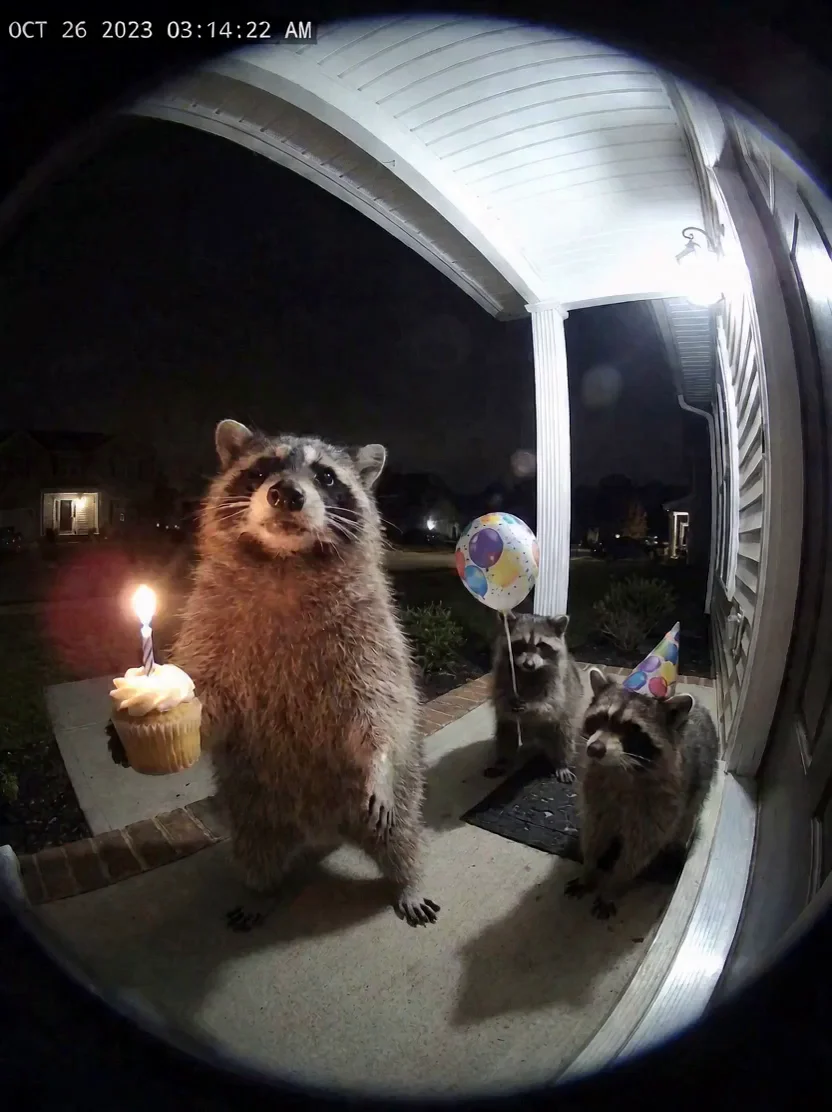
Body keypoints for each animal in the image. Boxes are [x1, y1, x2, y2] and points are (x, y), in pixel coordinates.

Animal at [161, 419, 439, 929]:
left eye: (326, 476)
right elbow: (206, 687)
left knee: (402, 836)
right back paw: (260, 889)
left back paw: (407, 880)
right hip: (253, 808)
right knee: (256, 851)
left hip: (397, 796)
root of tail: (322, 829)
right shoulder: (206, 620)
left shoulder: (372, 630)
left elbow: (380, 701)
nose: (286, 493)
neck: (285, 563)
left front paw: (378, 758)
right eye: (262, 469)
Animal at [487, 612, 584, 783]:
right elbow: (499, 696)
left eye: (542, 645)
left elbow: (552, 703)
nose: (529, 664)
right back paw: (503, 761)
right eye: (520, 644)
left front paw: (533, 705)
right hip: (509, 729)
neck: (530, 673)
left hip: (566, 719)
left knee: (564, 737)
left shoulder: (560, 681)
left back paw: (562, 762)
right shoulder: (502, 672)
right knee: (505, 735)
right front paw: (508, 699)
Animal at [565, 667, 719, 919]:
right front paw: (589, 867)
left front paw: (614, 884)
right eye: (600, 718)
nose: (594, 749)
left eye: (631, 729)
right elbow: (594, 831)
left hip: (702, 777)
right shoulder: (596, 791)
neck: (620, 769)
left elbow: (640, 849)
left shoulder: (661, 803)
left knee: (688, 813)